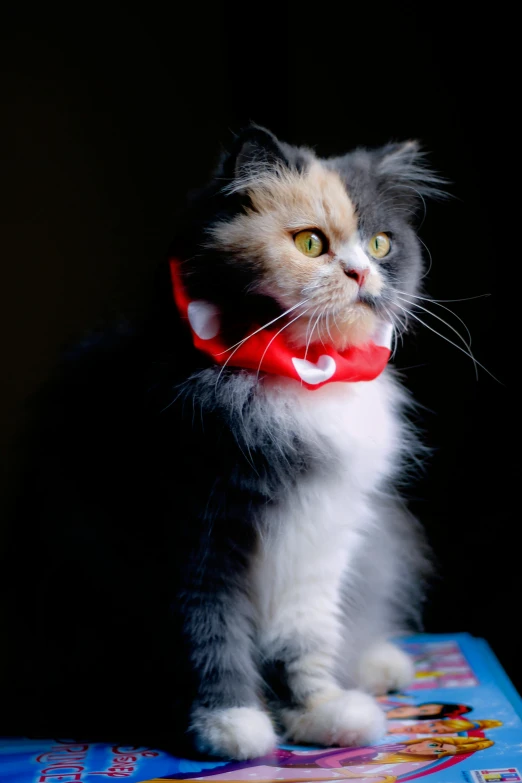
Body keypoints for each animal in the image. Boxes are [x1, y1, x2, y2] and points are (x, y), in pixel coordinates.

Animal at [2, 127, 436, 760]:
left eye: (380, 245)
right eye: (310, 243)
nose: (360, 274)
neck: (304, 376)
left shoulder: (319, 539)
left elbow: (303, 642)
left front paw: (321, 715)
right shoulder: (200, 538)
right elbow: (211, 639)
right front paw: (231, 727)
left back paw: (380, 666)